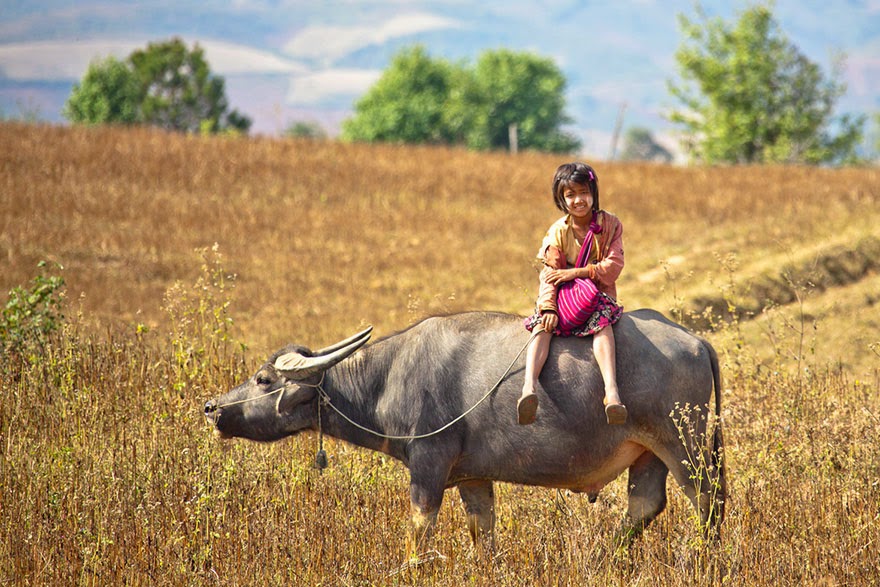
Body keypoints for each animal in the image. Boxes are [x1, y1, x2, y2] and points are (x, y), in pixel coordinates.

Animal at [205, 310, 720, 552]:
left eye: (264, 379)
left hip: (686, 447)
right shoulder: (474, 478)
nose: (211, 407)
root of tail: (695, 340)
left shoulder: (429, 466)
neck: (390, 376)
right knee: (645, 506)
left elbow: (418, 535)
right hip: (647, 453)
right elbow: (482, 536)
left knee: (707, 504)